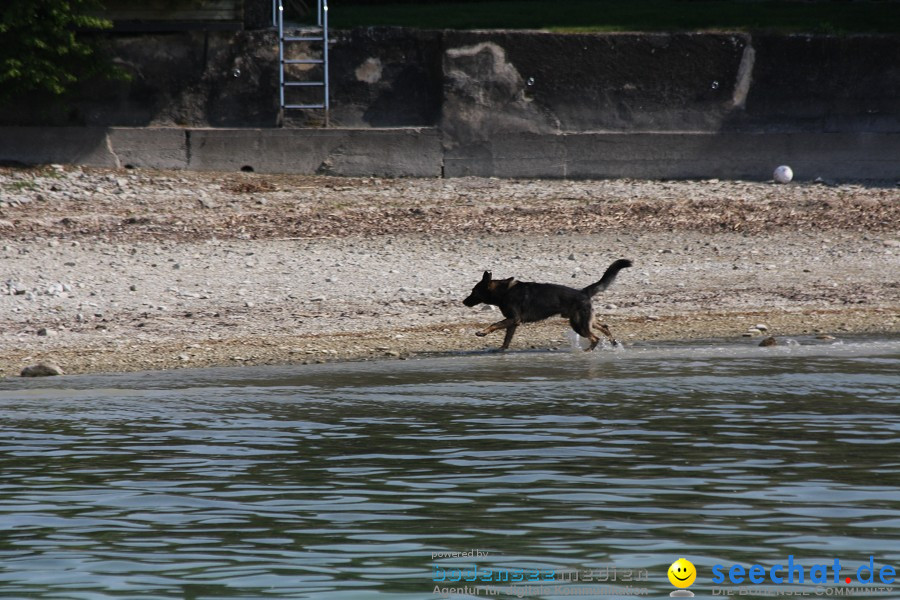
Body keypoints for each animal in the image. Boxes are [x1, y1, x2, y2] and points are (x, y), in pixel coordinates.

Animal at [464, 258, 632, 352]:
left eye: (474, 291)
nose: (463, 302)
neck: (503, 291)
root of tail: (583, 292)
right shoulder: (513, 323)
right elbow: (507, 339)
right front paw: (501, 350)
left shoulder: (513, 319)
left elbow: (494, 324)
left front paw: (482, 332)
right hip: (586, 321)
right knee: (604, 327)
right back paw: (613, 343)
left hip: (578, 324)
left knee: (595, 338)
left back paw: (586, 352)